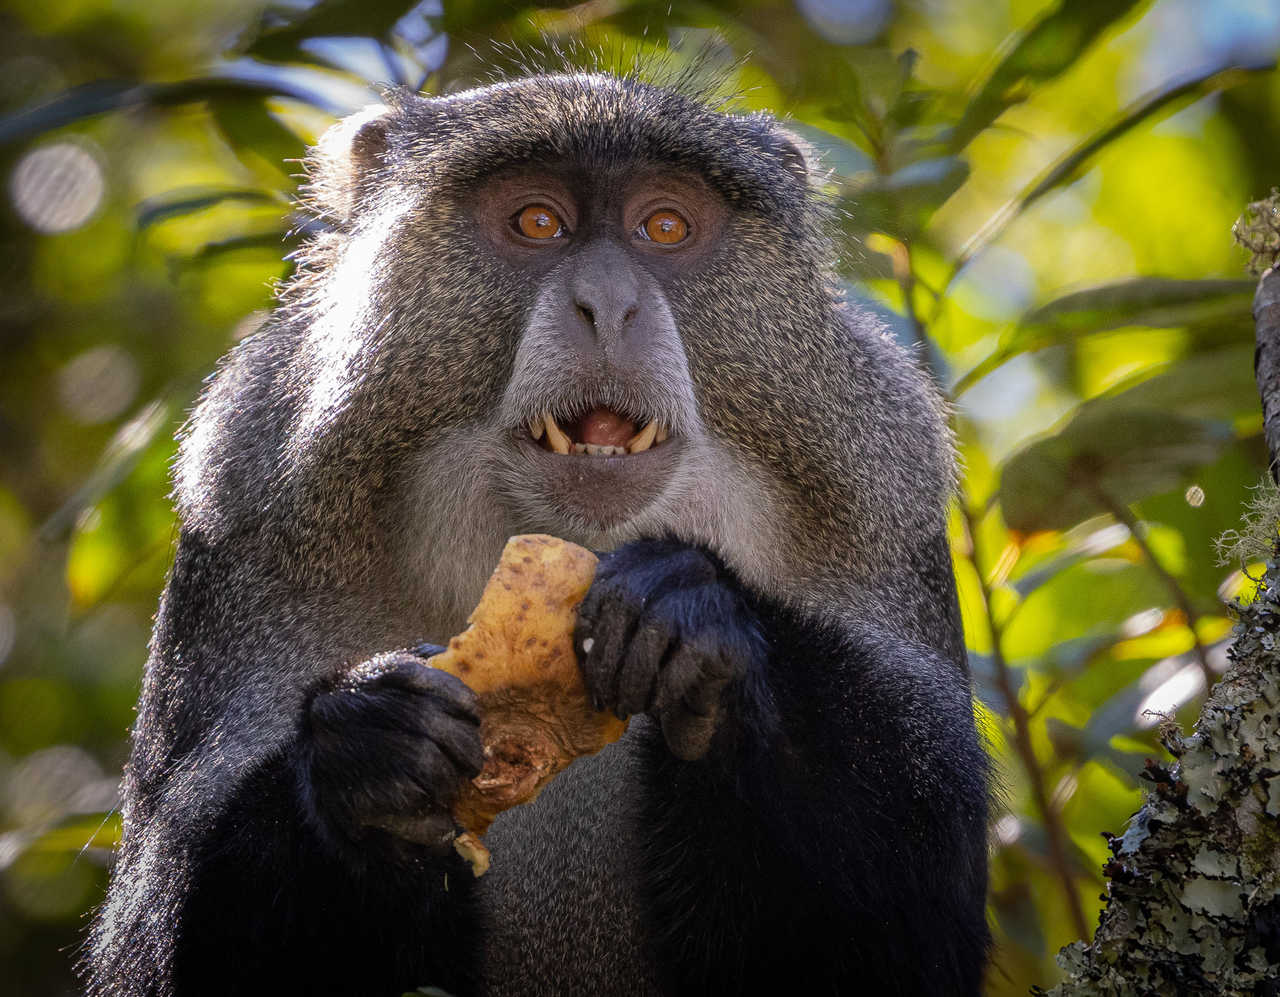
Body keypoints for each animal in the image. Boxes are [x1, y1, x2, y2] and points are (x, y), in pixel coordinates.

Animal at [83, 71, 990, 997]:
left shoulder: (885, 505)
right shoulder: (244, 507)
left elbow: (912, 932)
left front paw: (705, 632)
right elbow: (159, 944)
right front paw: (365, 750)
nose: (610, 304)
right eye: (538, 222)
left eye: (665, 226)